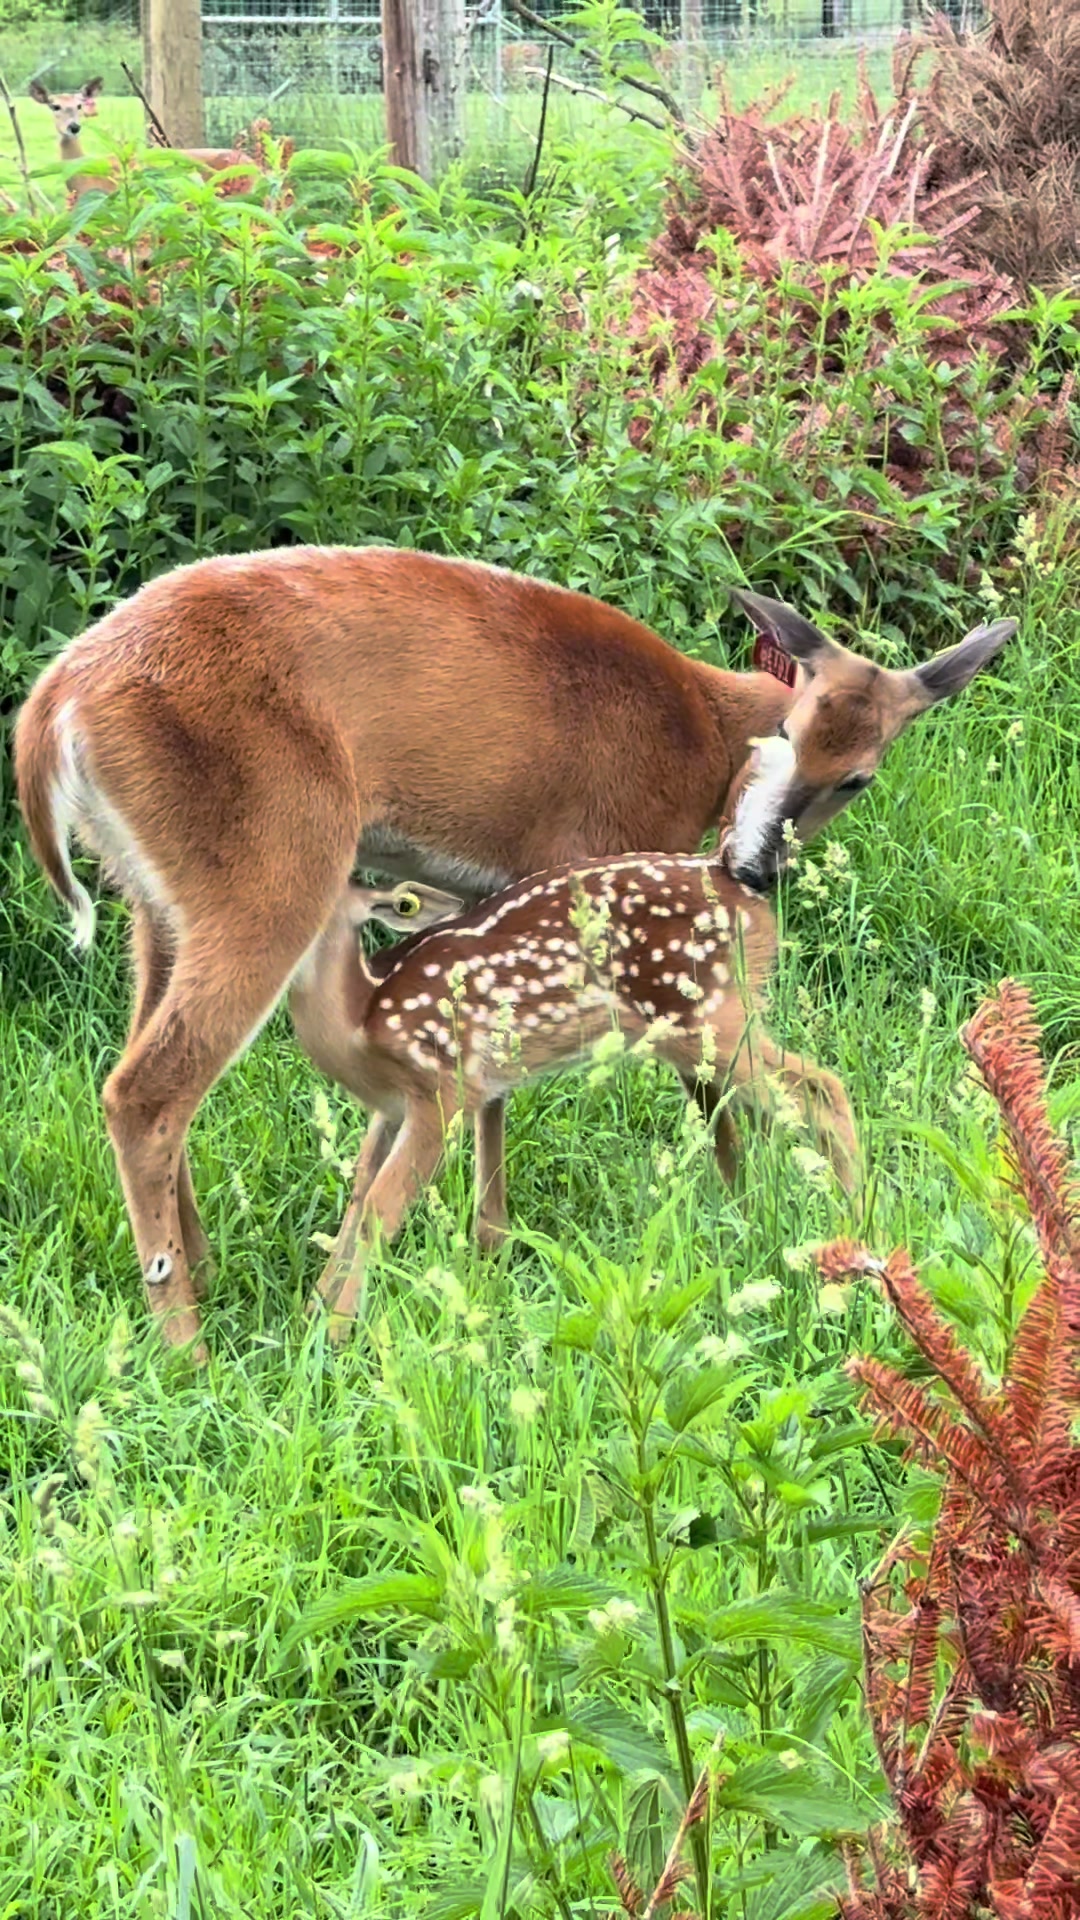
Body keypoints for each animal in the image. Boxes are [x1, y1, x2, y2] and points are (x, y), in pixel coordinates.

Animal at [289, 852, 860, 1338]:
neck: (363, 1023)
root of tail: (747, 895)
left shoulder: (444, 1088)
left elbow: (379, 1209)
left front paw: (338, 1335)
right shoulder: (389, 1109)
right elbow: (359, 1190)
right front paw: (313, 1315)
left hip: (706, 1017)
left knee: (822, 1089)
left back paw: (854, 1224)